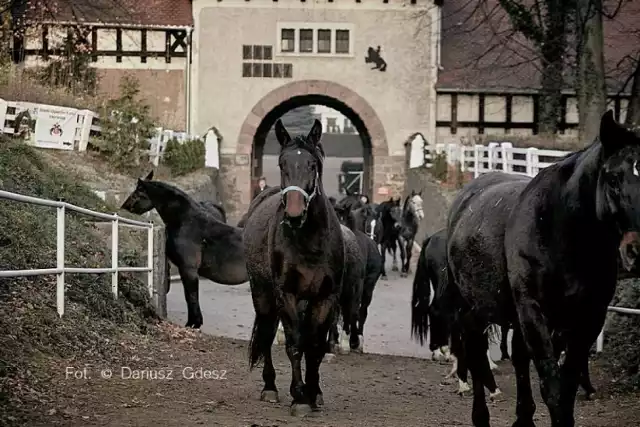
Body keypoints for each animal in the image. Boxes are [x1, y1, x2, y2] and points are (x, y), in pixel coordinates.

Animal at [120, 170, 248, 328]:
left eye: (138, 192)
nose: (124, 206)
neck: (186, 221)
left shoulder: (188, 268)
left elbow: (191, 295)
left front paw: (193, 323)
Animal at [244, 119, 358, 418]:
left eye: (313, 165)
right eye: (282, 163)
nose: (294, 213)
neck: (310, 244)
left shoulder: (326, 297)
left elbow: (315, 345)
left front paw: (314, 392)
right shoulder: (287, 294)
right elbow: (295, 343)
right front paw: (299, 398)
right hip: (263, 295)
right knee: (267, 332)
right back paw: (270, 387)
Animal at [444, 111, 640, 427]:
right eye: (613, 178)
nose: (637, 249)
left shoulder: (588, 318)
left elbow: (566, 385)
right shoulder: (534, 312)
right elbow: (552, 386)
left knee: (517, 356)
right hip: (470, 306)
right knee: (475, 350)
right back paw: (481, 415)